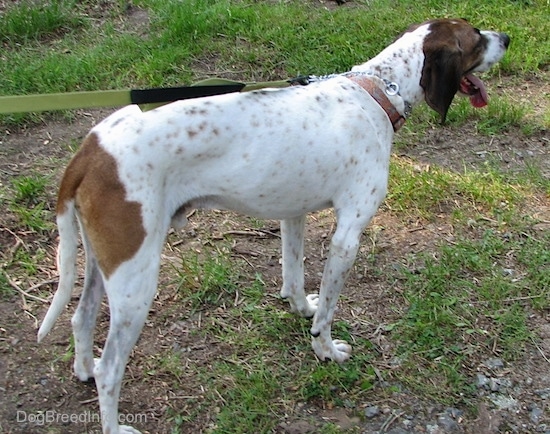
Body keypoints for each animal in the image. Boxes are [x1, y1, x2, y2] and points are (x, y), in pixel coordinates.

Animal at [38, 17, 512, 434]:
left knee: (80, 319)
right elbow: (329, 310)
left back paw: (83, 369)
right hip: (136, 283)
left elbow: (295, 275)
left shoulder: (293, 214)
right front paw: (325, 349)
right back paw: (113, 420)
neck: (375, 92)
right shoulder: (348, 237)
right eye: (475, 37)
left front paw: (301, 309)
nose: (507, 37)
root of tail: (91, 149)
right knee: (111, 368)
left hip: (103, 265)